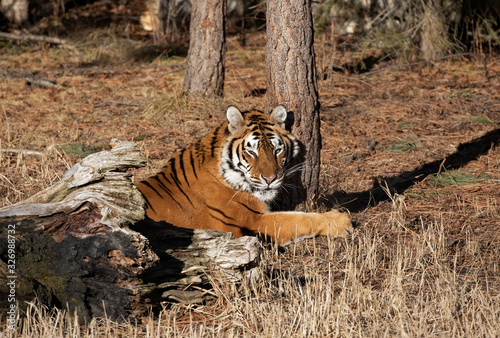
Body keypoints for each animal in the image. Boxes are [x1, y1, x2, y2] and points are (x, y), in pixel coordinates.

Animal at [133, 104, 352, 244]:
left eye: (277, 150)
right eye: (252, 152)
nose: (270, 179)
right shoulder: (252, 220)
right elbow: (299, 219)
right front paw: (340, 221)